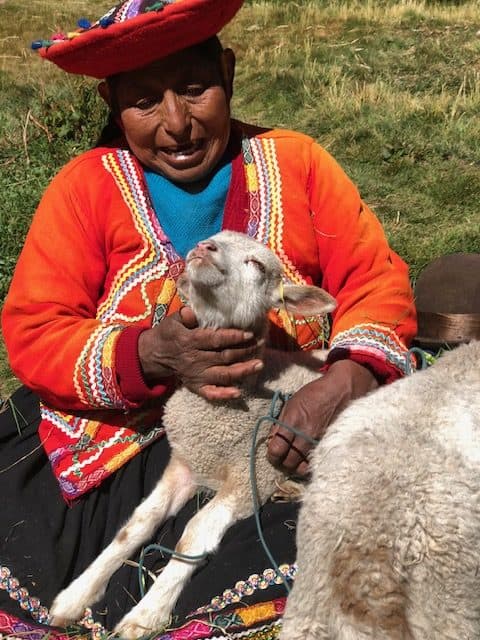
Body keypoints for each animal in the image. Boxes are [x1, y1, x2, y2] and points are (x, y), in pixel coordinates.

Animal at [47, 229, 334, 636]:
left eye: (257, 264)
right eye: (216, 238)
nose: (204, 247)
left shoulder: (251, 474)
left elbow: (194, 533)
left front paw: (146, 614)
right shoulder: (184, 463)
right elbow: (137, 524)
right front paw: (76, 595)